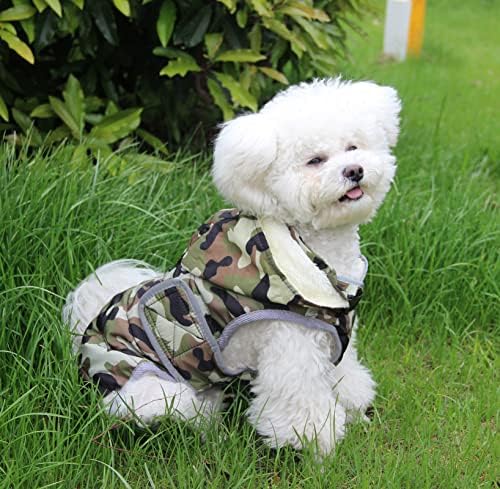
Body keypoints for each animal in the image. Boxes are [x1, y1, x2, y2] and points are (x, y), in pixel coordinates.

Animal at [63, 78, 400, 456]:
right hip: (151, 389)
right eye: (315, 160)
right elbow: (300, 404)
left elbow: (346, 376)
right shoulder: (290, 347)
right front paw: (316, 445)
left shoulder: (333, 340)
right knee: (177, 411)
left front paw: (355, 409)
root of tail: (84, 332)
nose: (354, 170)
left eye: (353, 146)